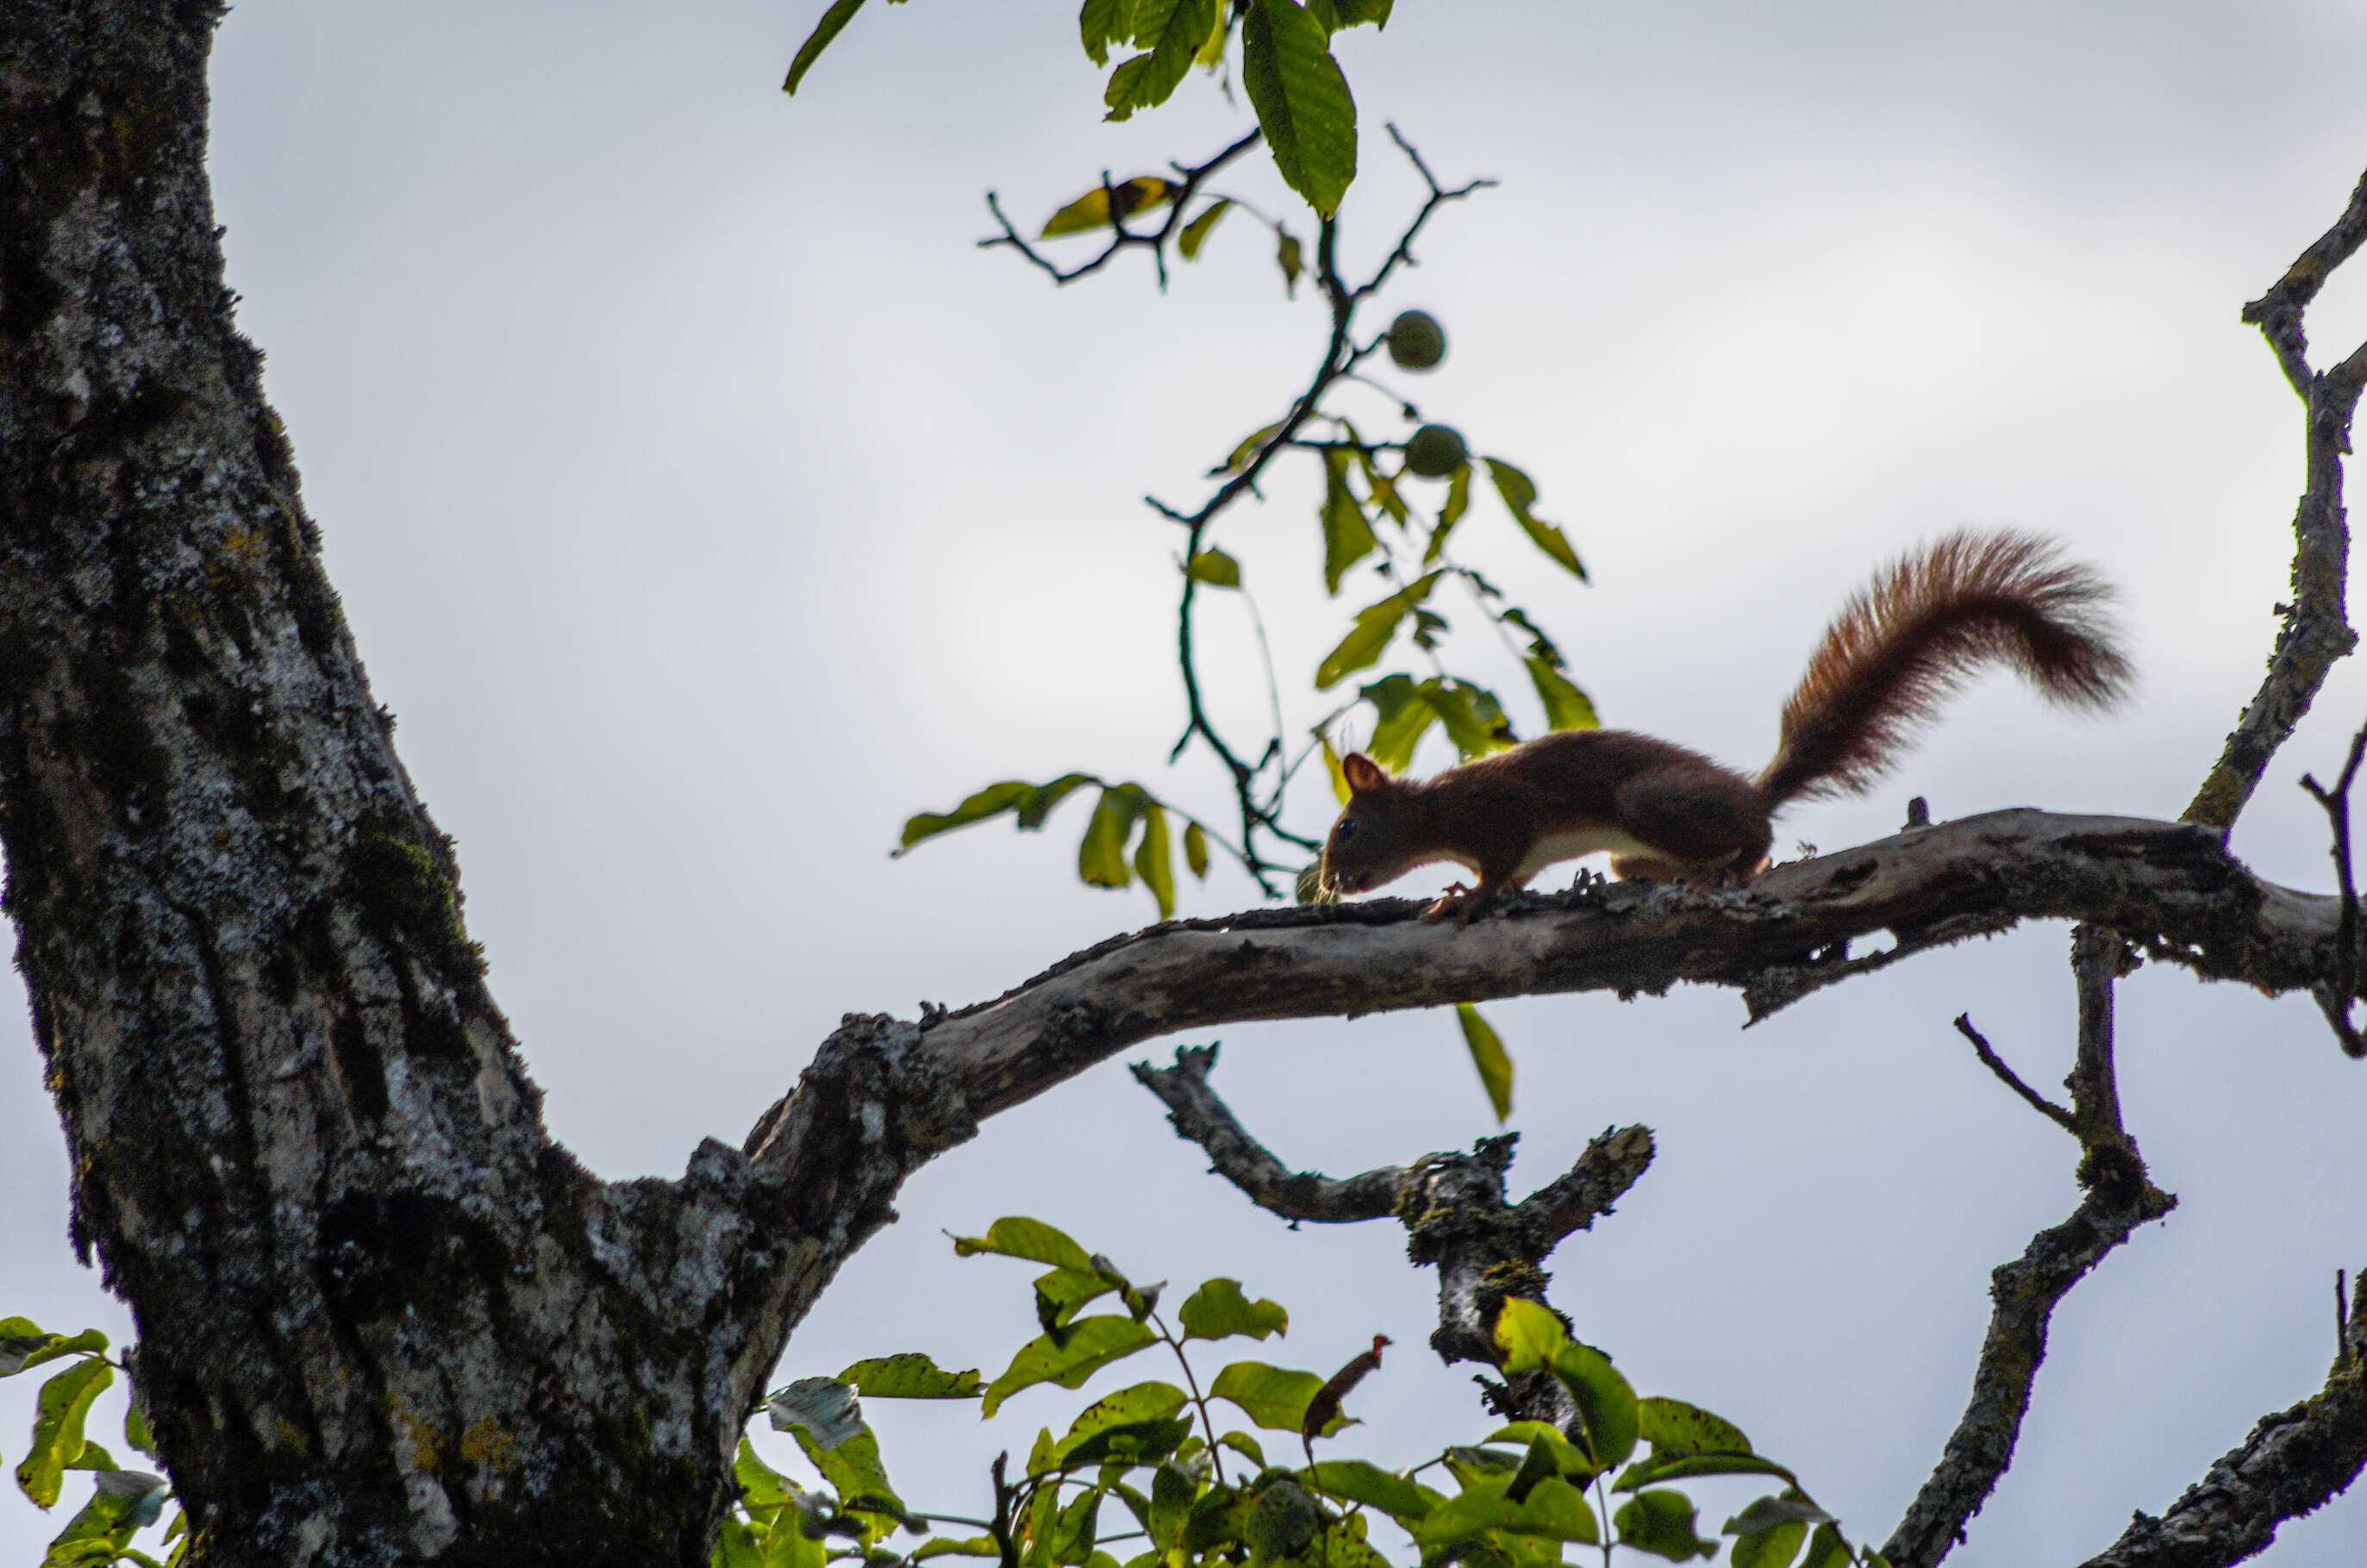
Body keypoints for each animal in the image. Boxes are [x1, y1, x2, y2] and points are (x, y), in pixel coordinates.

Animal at [1325, 528, 2139, 923]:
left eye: (1348, 828)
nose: (1328, 884)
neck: (1438, 810)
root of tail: (1751, 791)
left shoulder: (1503, 814)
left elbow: (1499, 869)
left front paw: (1464, 897)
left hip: (1646, 801)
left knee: (1761, 839)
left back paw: (1726, 866)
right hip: (1628, 845)